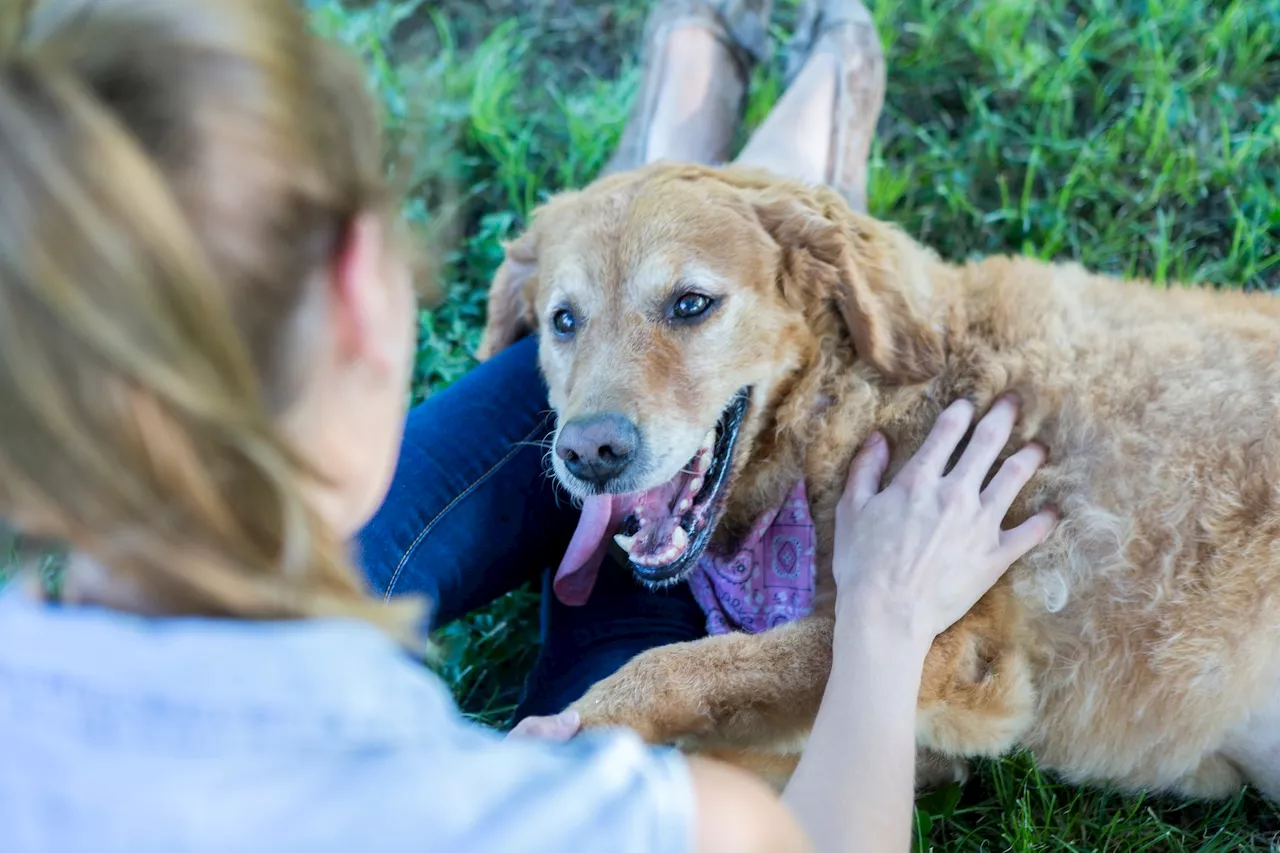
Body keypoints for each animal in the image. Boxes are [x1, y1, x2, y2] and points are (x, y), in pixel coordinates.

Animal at [476, 161, 1280, 799]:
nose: (588, 453)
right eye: (564, 320)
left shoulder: (954, 649)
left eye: (691, 303)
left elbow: (687, 665)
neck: (859, 404)